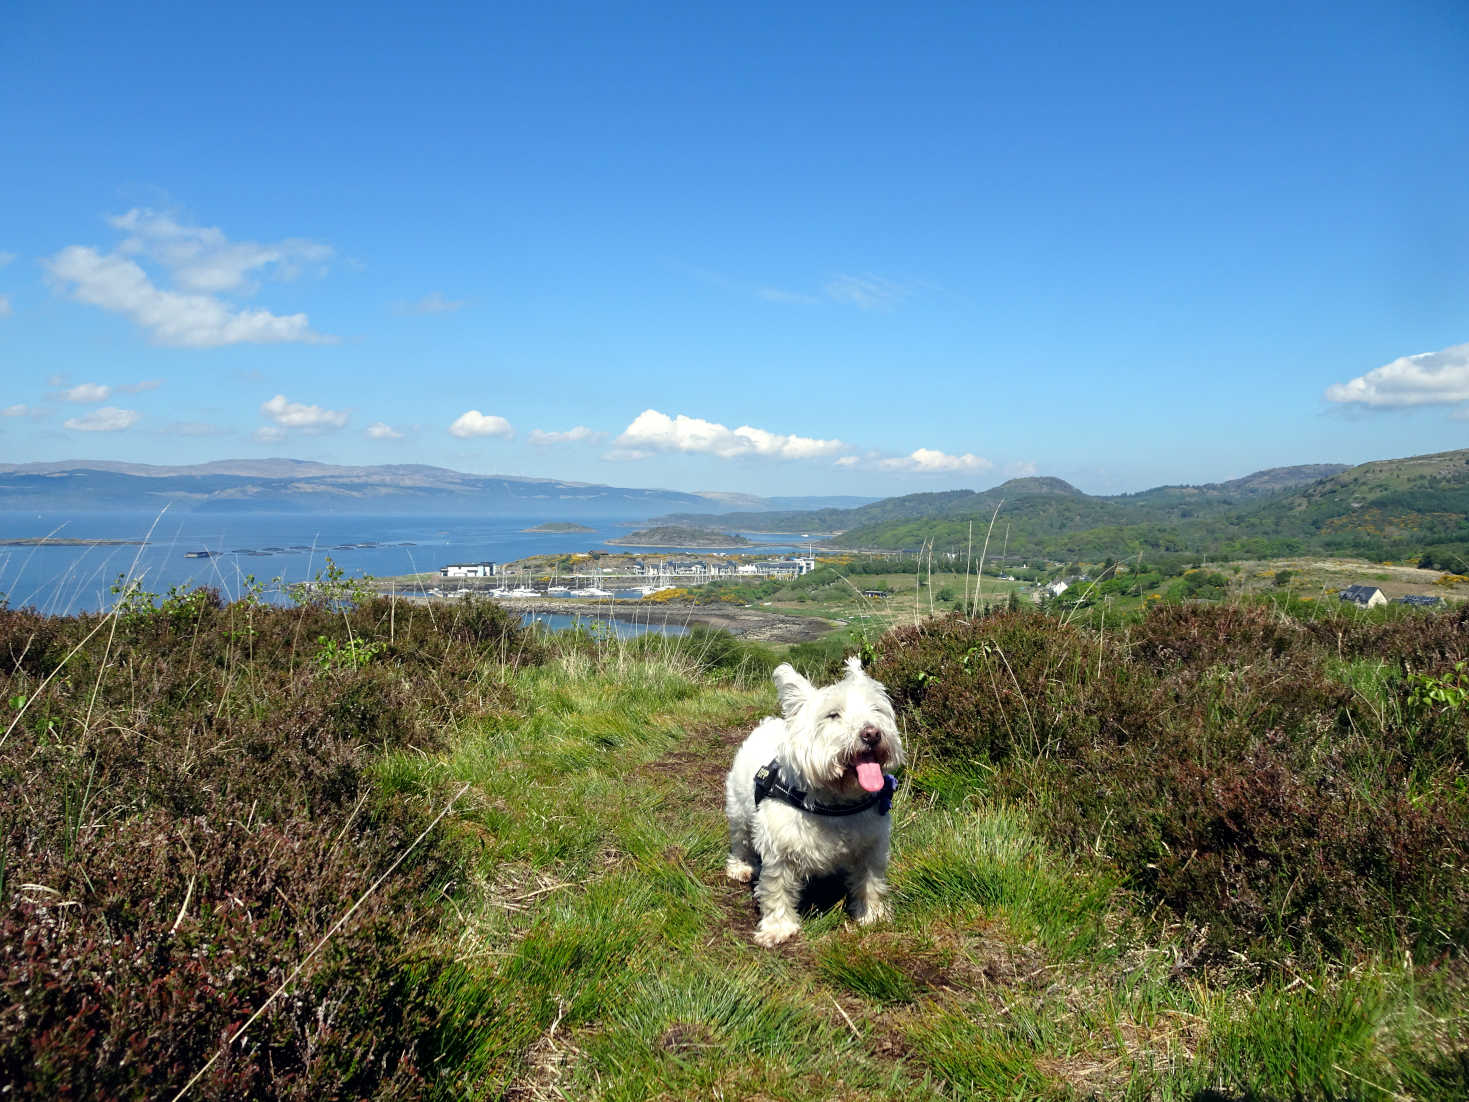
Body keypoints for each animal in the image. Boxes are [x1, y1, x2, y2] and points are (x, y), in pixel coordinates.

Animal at [725, 655, 904, 952]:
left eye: (877, 710)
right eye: (833, 715)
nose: (872, 733)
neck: (834, 803)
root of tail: (769, 722)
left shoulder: (871, 846)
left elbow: (871, 882)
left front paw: (873, 916)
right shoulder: (779, 852)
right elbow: (776, 890)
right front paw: (777, 929)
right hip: (739, 811)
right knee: (740, 840)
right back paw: (741, 866)